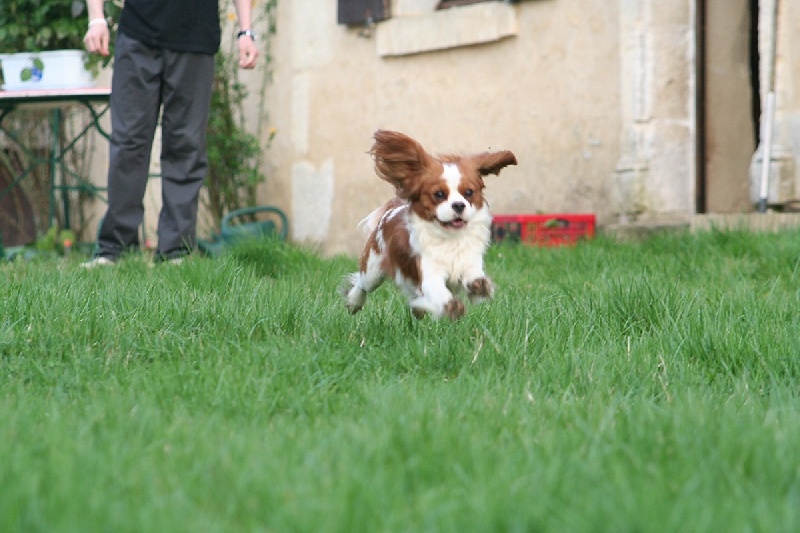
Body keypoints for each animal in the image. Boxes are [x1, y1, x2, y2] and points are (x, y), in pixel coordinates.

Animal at [342, 130, 520, 318]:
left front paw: (480, 286)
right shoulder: (428, 272)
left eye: (469, 192)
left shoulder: (470, 261)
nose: (459, 205)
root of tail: (392, 209)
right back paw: (353, 302)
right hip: (373, 269)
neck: (450, 237)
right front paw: (452, 306)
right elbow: (438, 291)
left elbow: (474, 275)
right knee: (362, 284)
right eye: (439, 194)